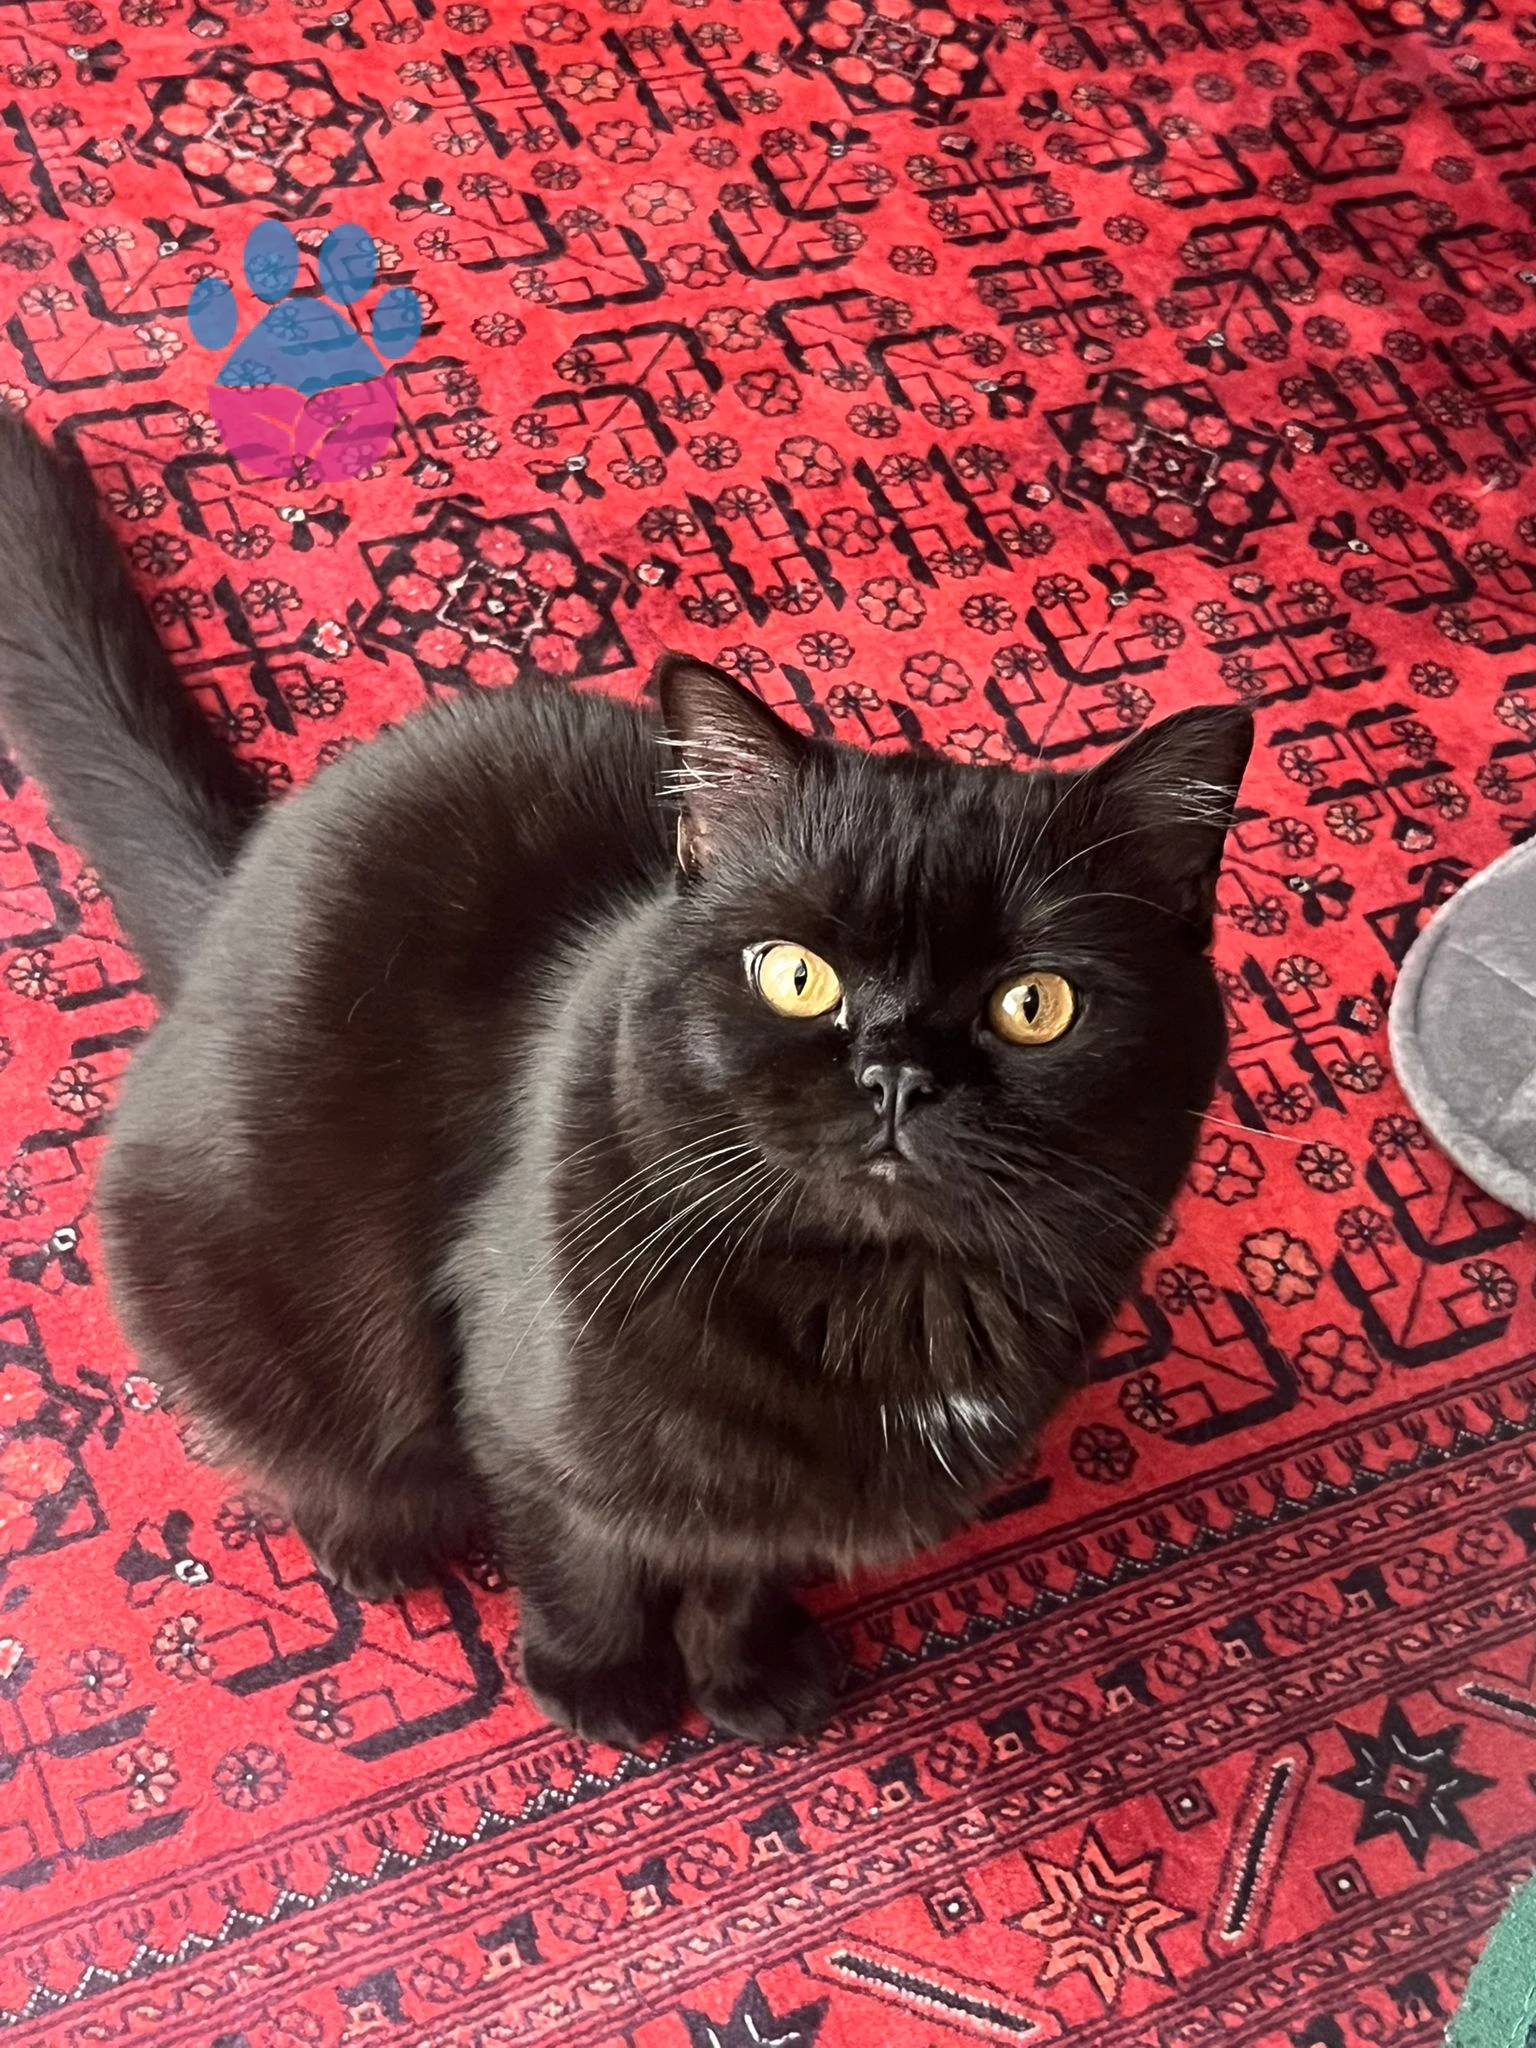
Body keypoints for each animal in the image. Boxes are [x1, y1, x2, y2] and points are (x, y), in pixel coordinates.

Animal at [0, 414, 1252, 1748]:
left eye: (1036, 1004)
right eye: (794, 975)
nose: (895, 1074)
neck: (883, 1293)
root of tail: (239, 878)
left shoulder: (763, 1503)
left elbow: (735, 1567)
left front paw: (748, 1676)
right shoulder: (527, 1416)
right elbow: (581, 1555)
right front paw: (602, 1684)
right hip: (226, 1261)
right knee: (290, 1422)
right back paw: (372, 1536)